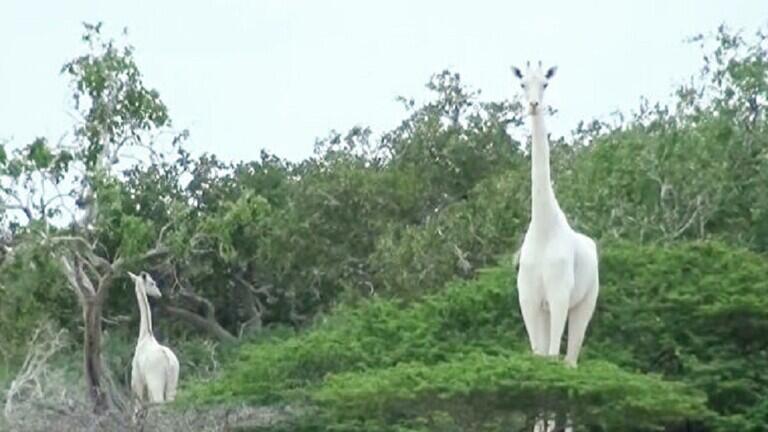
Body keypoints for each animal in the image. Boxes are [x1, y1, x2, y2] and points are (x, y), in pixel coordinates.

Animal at [131, 270, 182, 404]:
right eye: (152, 283)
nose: (159, 294)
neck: (145, 336)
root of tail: (168, 361)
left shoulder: (137, 380)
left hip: (155, 382)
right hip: (172, 383)